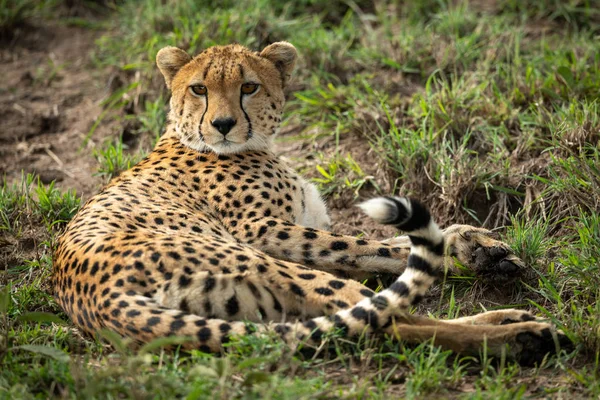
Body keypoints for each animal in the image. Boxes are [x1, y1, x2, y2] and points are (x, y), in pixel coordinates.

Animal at [50, 42, 568, 364]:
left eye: (249, 86)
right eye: (198, 89)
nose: (222, 124)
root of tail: (95, 298)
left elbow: (383, 246)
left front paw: (478, 247)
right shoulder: (260, 230)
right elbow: (361, 245)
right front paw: (470, 251)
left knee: (368, 319)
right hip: (255, 262)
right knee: (383, 319)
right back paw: (517, 335)